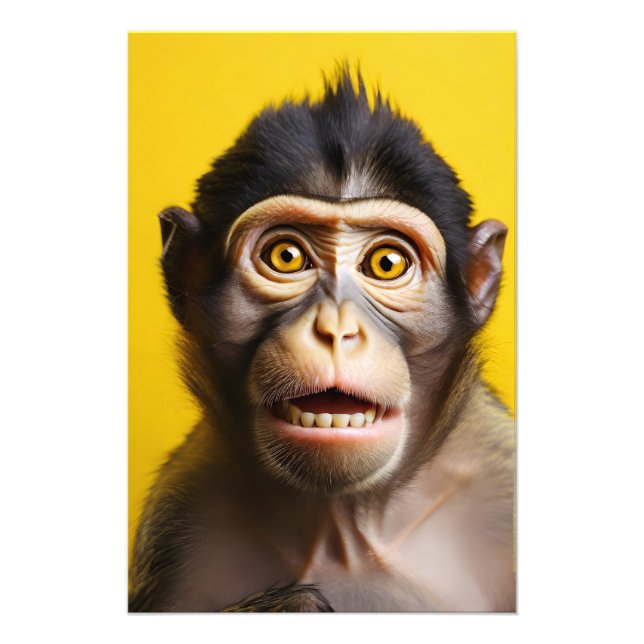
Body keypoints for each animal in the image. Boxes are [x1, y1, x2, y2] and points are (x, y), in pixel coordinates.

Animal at [129, 69, 515, 612]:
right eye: (287, 256)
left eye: (386, 263)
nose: (335, 328)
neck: (344, 528)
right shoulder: (179, 522)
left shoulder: (502, 478)